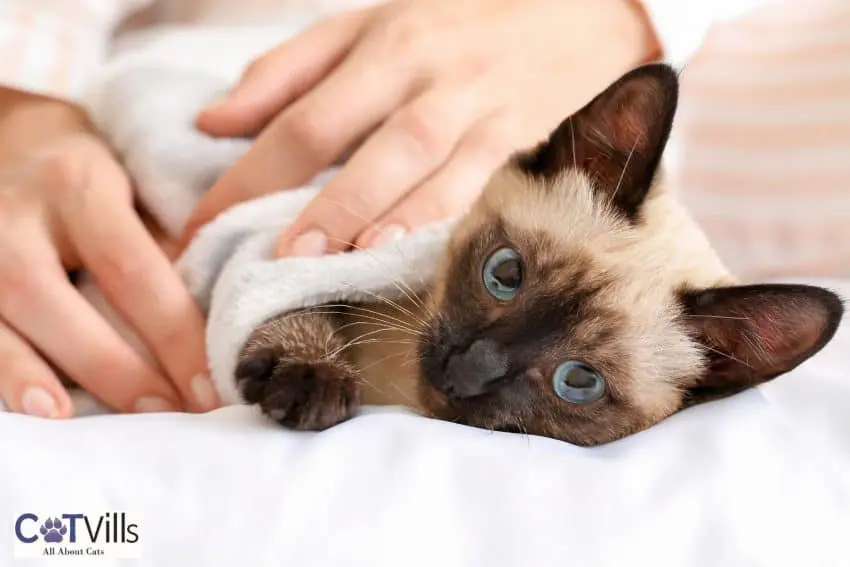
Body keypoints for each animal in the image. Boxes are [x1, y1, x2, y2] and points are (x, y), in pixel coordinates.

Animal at [232, 64, 840, 446]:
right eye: (504, 274)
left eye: (578, 382)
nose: (469, 370)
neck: (393, 388)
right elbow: (300, 297)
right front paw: (311, 376)